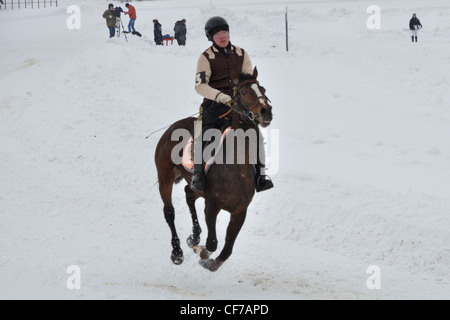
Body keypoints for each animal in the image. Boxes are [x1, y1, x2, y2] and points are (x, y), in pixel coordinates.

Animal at [155, 67, 272, 270]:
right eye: (243, 92)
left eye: (263, 89)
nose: (266, 111)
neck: (236, 169)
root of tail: (173, 127)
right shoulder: (212, 205)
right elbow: (212, 243)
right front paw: (201, 251)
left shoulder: (240, 211)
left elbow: (227, 250)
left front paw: (209, 260)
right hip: (165, 178)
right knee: (169, 212)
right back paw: (177, 252)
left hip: (194, 186)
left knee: (188, 193)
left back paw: (194, 237)